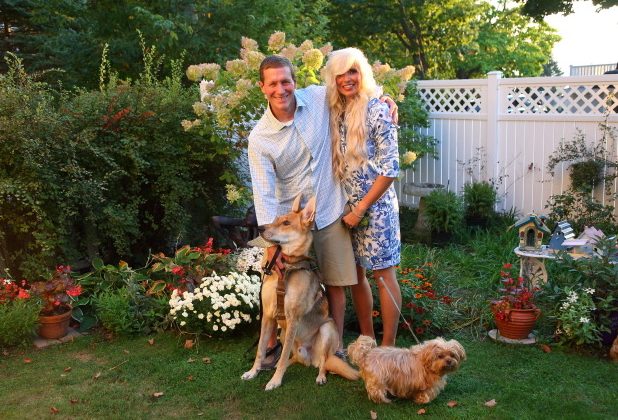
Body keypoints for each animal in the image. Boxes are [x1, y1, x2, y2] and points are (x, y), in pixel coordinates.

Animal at [241, 195, 359, 390]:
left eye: (286, 223)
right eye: (276, 220)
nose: (260, 228)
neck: (287, 267)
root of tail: (311, 358)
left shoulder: (293, 318)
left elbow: (282, 356)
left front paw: (275, 381)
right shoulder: (268, 316)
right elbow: (260, 350)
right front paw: (253, 371)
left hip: (326, 330)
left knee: (325, 362)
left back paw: (320, 376)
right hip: (282, 333)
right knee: (293, 357)